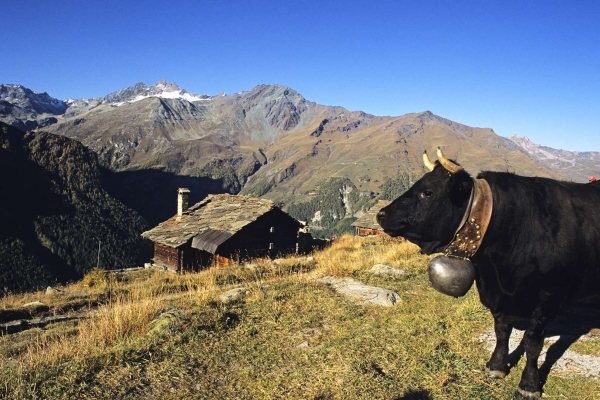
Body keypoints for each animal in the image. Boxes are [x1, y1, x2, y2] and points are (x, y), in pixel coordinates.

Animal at [378, 148, 596, 398]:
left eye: (427, 192)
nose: (381, 214)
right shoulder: (496, 294)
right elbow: (501, 330)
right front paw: (496, 366)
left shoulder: (550, 296)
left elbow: (533, 342)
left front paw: (529, 385)